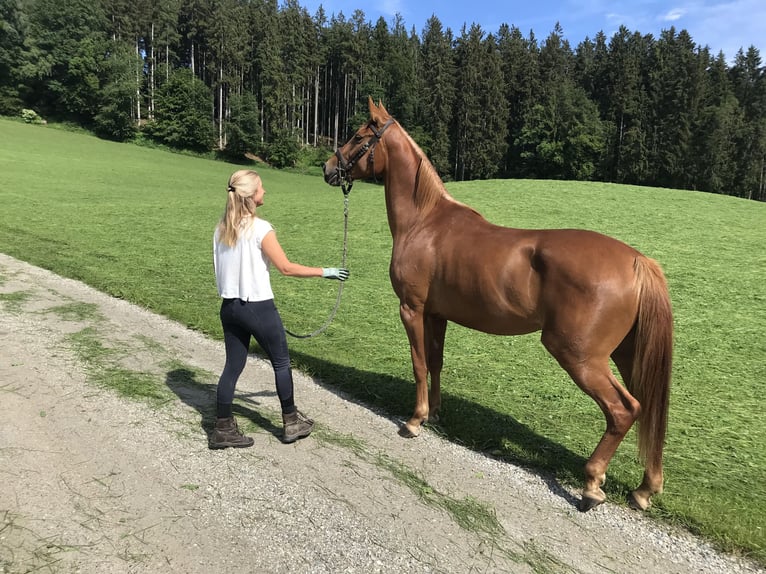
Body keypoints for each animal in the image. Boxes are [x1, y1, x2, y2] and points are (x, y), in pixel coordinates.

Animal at [324, 99, 672, 512]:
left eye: (357, 136)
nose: (328, 169)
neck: (425, 222)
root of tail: (637, 261)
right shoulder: (437, 315)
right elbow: (437, 362)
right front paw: (435, 414)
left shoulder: (411, 309)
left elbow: (419, 364)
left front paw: (414, 421)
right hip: (628, 355)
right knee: (649, 409)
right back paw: (645, 489)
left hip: (580, 357)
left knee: (624, 410)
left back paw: (591, 484)